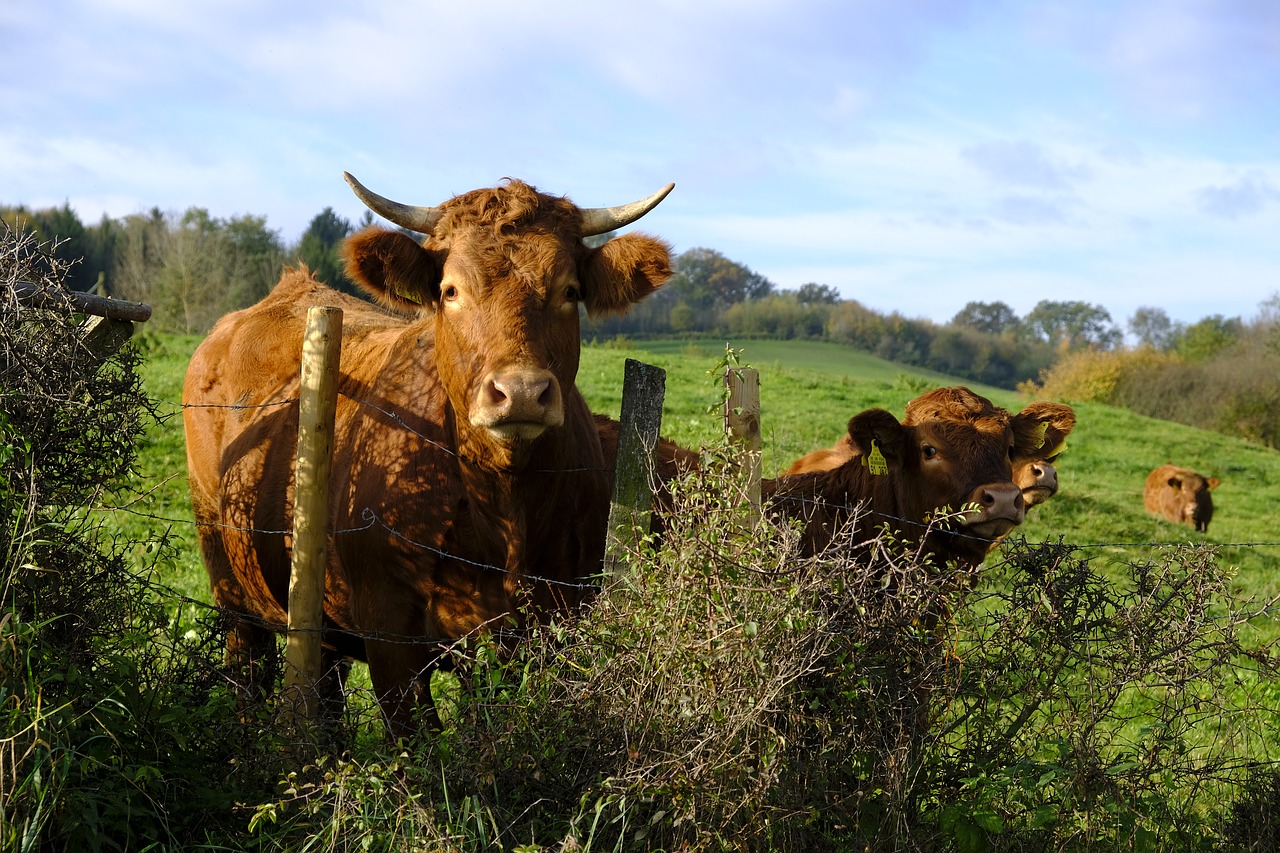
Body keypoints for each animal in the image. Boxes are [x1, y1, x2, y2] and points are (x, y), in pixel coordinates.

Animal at [186, 171, 680, 732]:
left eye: (569, 291)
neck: (503, 509)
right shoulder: (390, 636)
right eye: (450, 290)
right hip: (228, 576)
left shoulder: (557, 624)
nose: (521, 392)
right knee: (246, 668)